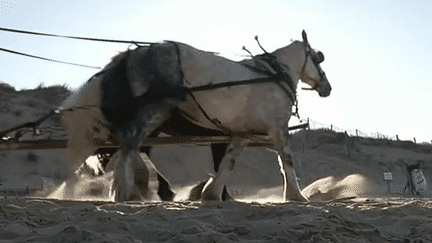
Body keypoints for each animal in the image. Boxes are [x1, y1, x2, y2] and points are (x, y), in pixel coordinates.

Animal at [60, 30, 330, 201]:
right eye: (318, 59)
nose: (327, 88)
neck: (273, 75)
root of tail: (132, 53)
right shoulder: (278, 129)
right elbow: (287, 162)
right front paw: (296, 195)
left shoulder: (242, 134)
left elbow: (228, 162)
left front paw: (212, 193)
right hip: (155, 110)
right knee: (130, 143)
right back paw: (125, 192)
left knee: (128, 144)